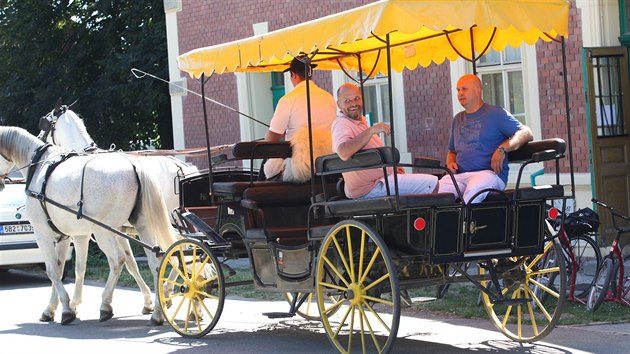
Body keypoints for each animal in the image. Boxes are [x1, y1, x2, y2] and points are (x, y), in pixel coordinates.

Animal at [0, 126, 178, 324]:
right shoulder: (69, 236)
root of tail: (134, 165)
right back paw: (158, 312)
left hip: (104, 231)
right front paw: (57, 308)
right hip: (143, 226)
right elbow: (68, 268)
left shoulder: (42, 235)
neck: (39, 167)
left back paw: (106, 305)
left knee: (118, 260)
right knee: (157, 262)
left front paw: (66, 309)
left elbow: (52, 271)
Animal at [37, 105, 198, 320]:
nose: (39, 139)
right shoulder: (118, 230)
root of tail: (182, 168)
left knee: (181, 253)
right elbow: (131, 262)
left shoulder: (96, 231)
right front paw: (148, 302)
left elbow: (97, 265)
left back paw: (173, 294)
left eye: (44, 124)